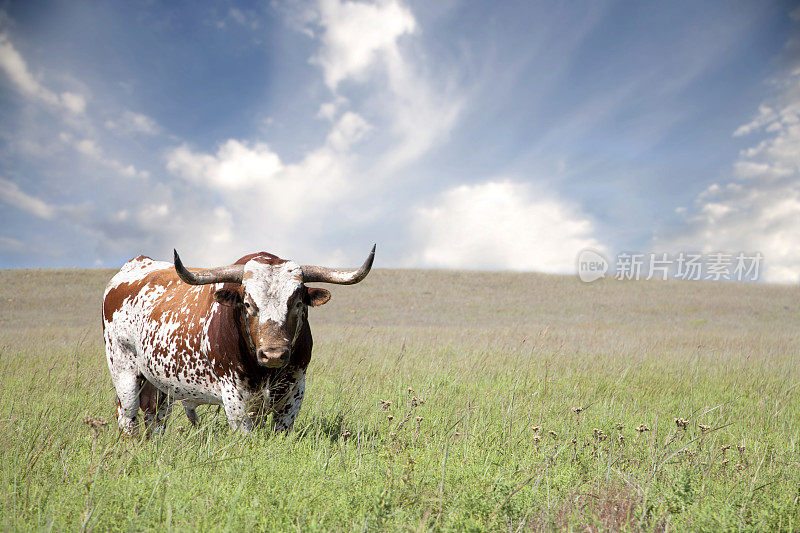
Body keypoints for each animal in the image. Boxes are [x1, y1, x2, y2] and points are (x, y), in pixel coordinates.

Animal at [101, 245, 374, 432]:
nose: (274, 354)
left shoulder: (294, 393)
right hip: (123, 371)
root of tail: (135, 265)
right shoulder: (236, 400)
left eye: (297, 303)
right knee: (127, 414)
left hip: (158, 383)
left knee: (155, 415)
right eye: (248, 303)